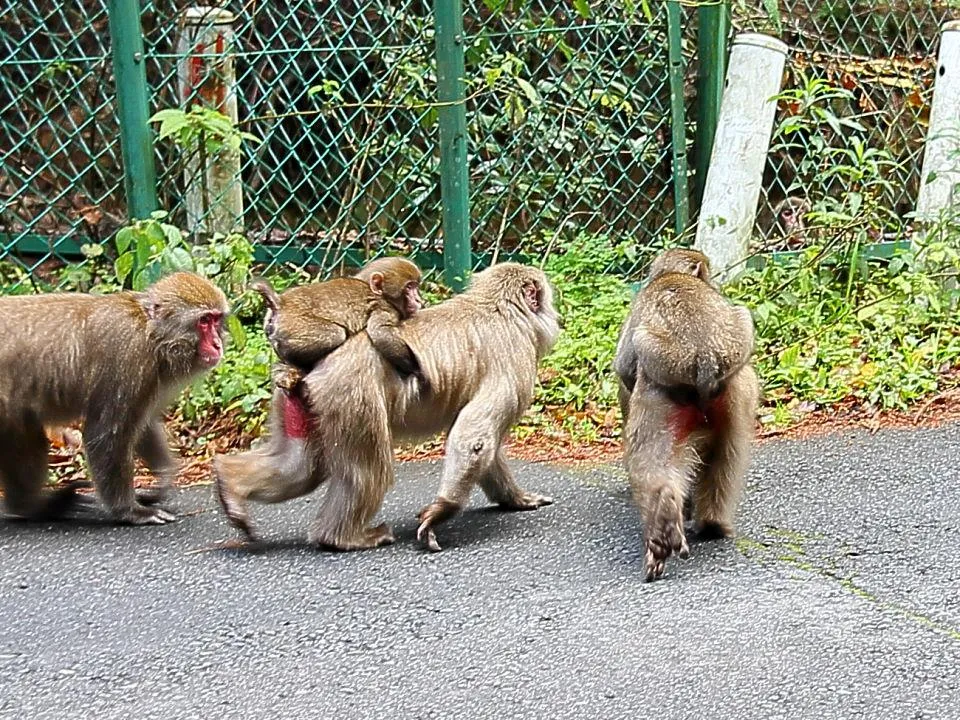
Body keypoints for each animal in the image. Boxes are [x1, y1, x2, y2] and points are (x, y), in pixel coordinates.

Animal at [0, 270, 231, 524]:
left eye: (216, 320)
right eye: (204, 321)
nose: (217, 345)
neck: (150, 333)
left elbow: (142, 424)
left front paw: (164, 479)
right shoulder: (128, 358)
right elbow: (107, 433)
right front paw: (130, 510)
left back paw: (28, 507)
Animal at [251, 256, 424, 394]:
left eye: (416, 286)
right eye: (409, 287)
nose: (419, 300)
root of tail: (280, 303)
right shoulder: (383, 308)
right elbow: (381, 333)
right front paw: (415, 369)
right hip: (296, 325)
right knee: (336, 334)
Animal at [616, 250, 756, 584]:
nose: (714, 281)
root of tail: (705, 359)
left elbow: (623, 367)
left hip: (659, 386)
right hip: (735, 390)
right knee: (726, 456)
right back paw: (706, 524)